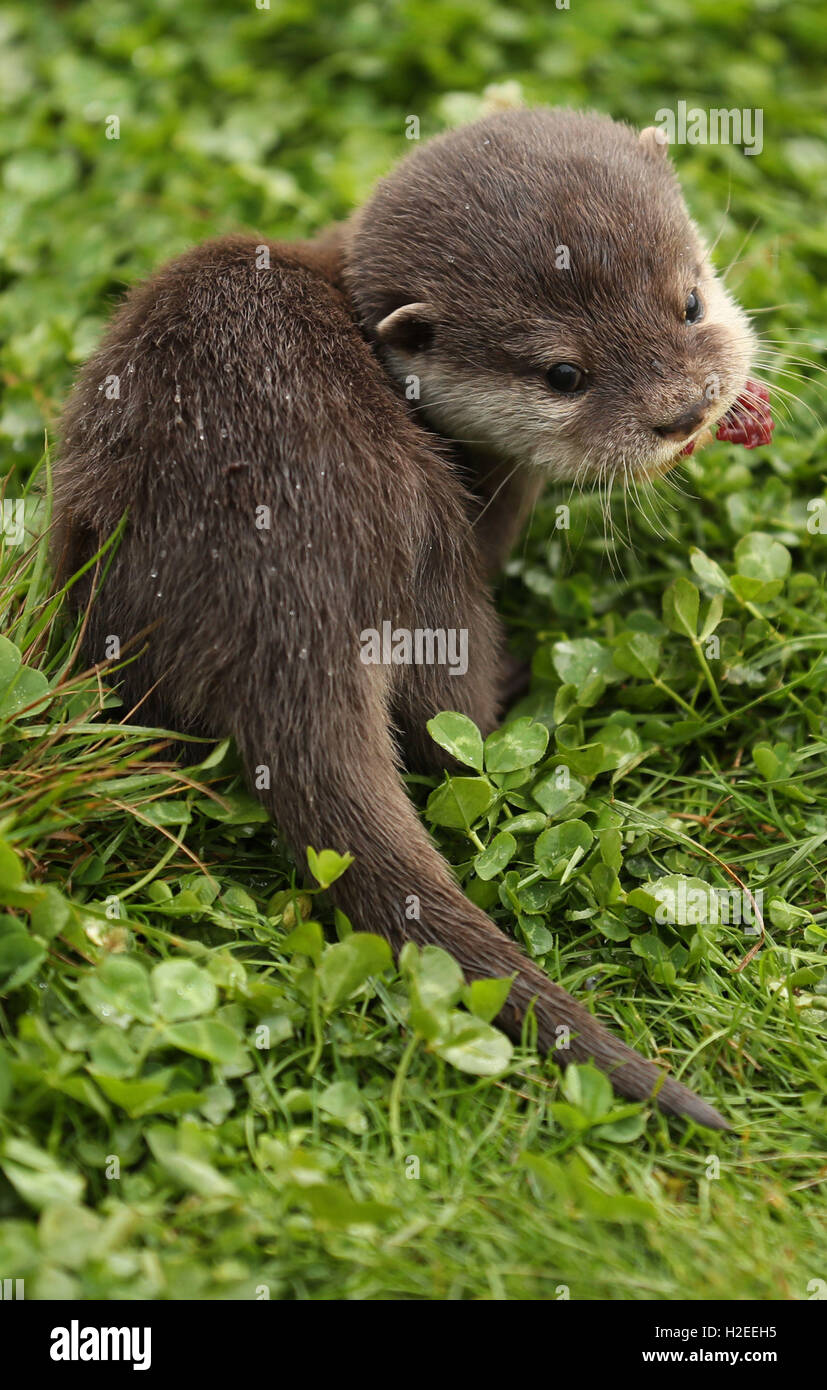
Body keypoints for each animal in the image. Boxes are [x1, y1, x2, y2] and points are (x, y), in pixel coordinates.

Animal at [52, 108, 759, 1129]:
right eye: (563, 372)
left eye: (691, 301)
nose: (687, 413)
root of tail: (279, 597)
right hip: (426, 562)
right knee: (447, 715)